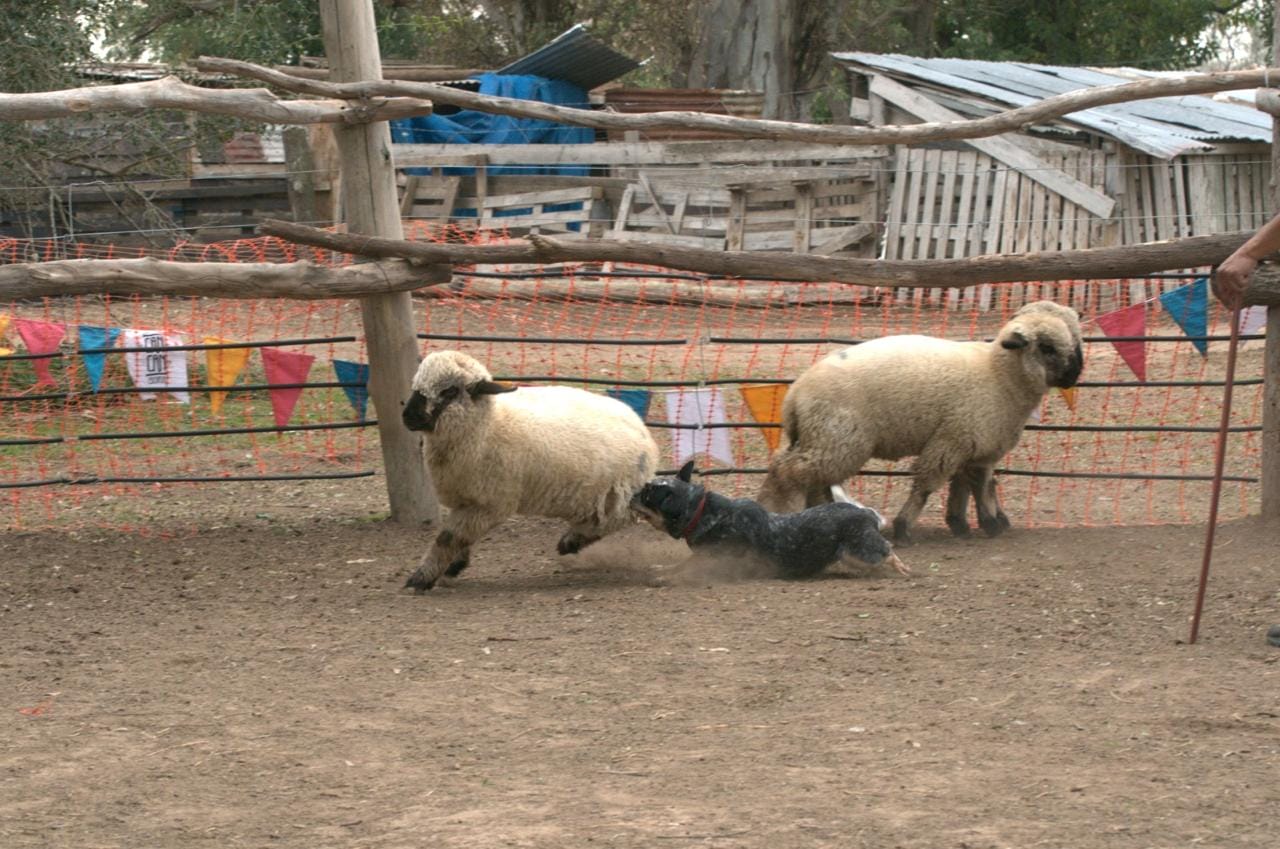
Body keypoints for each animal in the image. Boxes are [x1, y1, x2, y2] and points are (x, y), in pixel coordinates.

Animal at [400, 350, 660, 592]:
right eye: (416, 385)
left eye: (450, 391)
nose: (408, 416)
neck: (487, 427)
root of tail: (641, 427)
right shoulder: (466, 500)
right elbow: (457, 538)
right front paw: (453, 566)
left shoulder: (490, 505)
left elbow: (448, 538)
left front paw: (421, 578)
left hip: (614, 493)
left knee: (619, 518)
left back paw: (571, 541)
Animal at [756, 300, 1083, 544]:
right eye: (1046, 347)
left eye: (1075, 337)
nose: (1075, 374)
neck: (999, 376)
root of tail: (795, 396)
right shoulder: (956, 438)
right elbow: (941, 485)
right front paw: (907, 528)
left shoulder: (970, 442)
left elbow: (967, 485)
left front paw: (962, 524)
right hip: (837, 439)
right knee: (789, 473)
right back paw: (778, 513)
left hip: (821, 437)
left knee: (806, 477)